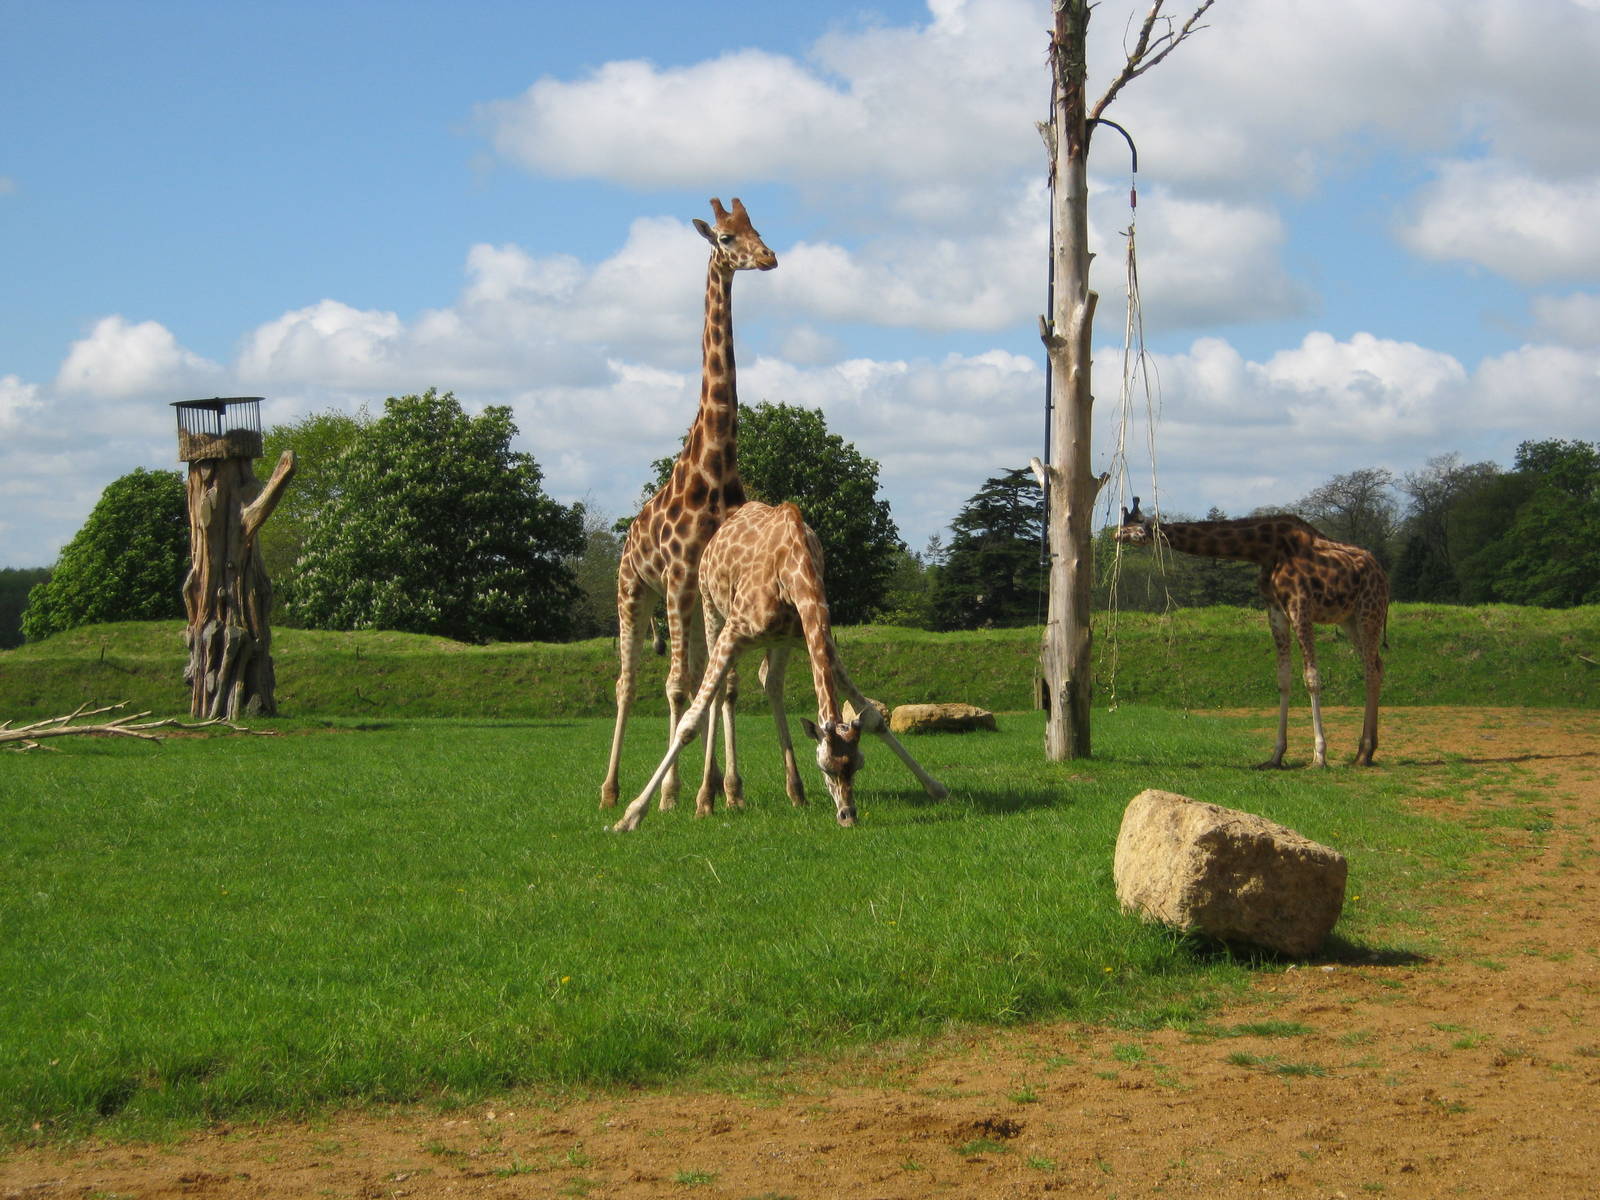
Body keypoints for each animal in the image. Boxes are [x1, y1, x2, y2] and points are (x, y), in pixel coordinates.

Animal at [601, 198, 776, 814]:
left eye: (756, 229)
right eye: (725, 238)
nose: (768, 257)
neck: (715, 466)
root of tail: (627, 536)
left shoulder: (708, 582)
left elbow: (720, 685)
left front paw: (724, 791)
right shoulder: (677, 577)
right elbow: (677, 687)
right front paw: (673, 795)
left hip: (682, 599)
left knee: (699, 673)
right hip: (633, 591)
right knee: (628, 682)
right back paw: (610, 790)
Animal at [612, 501, 949, 832]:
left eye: (858, 764)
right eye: (825, 767)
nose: (848, 816)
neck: (793, 570)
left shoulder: (814, 637)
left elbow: (875, 717)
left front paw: (936, 788)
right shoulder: (734, 632)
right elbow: (689, 723)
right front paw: (630, 816)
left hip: (779, 640)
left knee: (770, 681)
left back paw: (794, 791)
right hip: (710, 607)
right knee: (716, 690)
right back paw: (705, 799)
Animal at [1113, 498, 1389, 769]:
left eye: (1135, 525)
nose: (1114, 534)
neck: (1264, 549)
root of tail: (1381, 572)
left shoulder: (1300, 606)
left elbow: (1311, 678)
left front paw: (1319, 756)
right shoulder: (1276, 610)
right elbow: (1283, 679)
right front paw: (1276, 756)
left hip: (1368, 611)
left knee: (1369, 669)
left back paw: (1363, 752)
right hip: (1349, 619)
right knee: (1376, 665)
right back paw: (1366, 751)